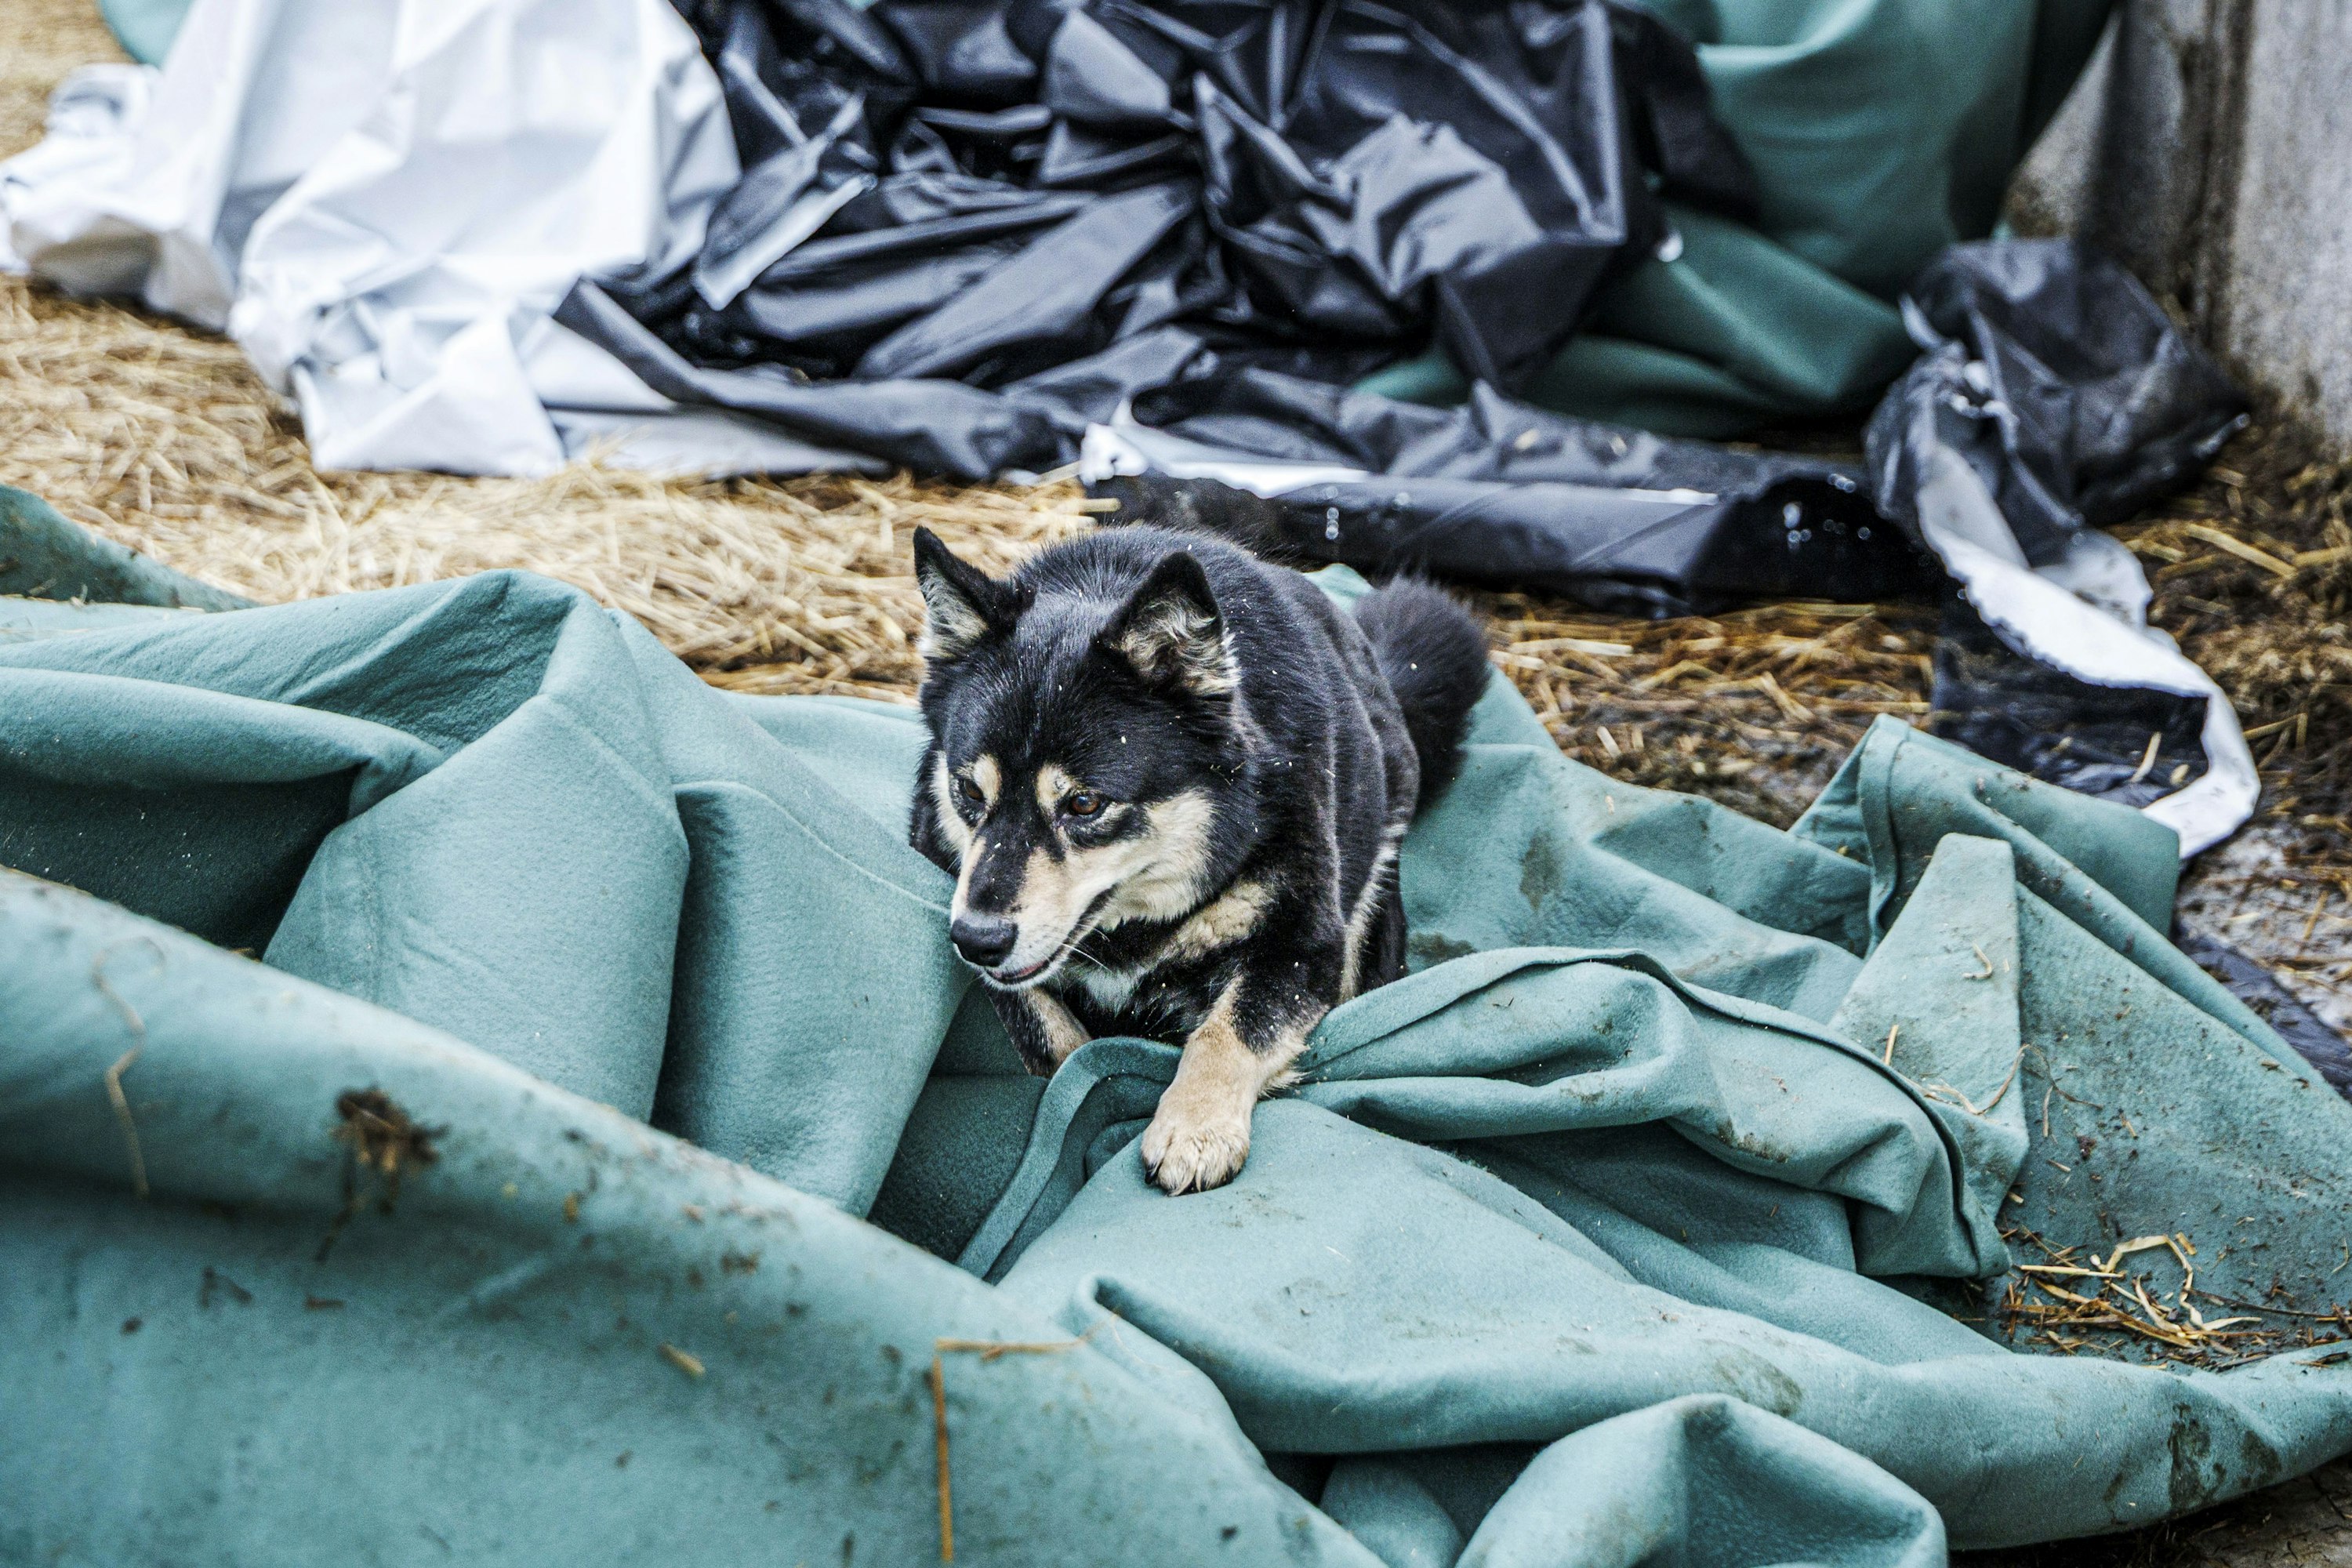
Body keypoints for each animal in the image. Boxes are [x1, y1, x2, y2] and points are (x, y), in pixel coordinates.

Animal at [908, 524, 1489, 1194]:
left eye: (1084, 803)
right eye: (969, 792)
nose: (976, 939)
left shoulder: (1302, 944)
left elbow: (1228, 1028)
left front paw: (1195, 1128)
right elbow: (1053, 1040)